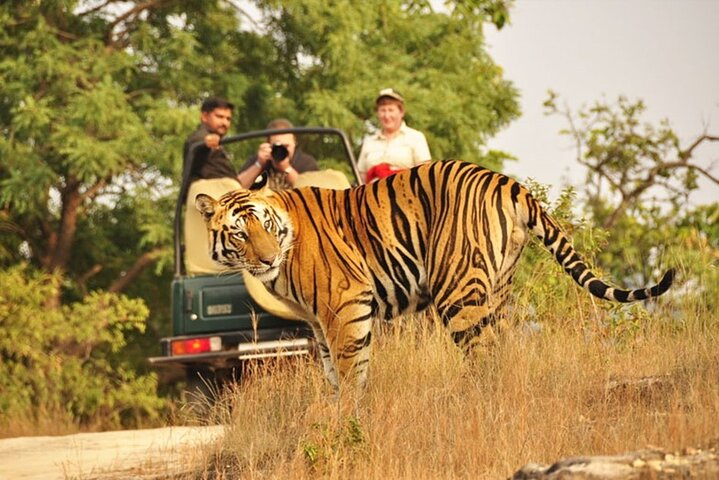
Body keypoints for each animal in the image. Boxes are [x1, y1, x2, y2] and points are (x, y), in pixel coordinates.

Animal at [195, 160, 674, 390]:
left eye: (264, 224)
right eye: (239, 233)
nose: (266, 259)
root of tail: (509, 182)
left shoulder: (345, 306)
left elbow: (351, 373)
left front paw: (348, 422)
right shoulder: (319, 322)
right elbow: (335, 373)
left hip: (457, 291)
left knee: (483, 356)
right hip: (497, 289)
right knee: (502, 349)